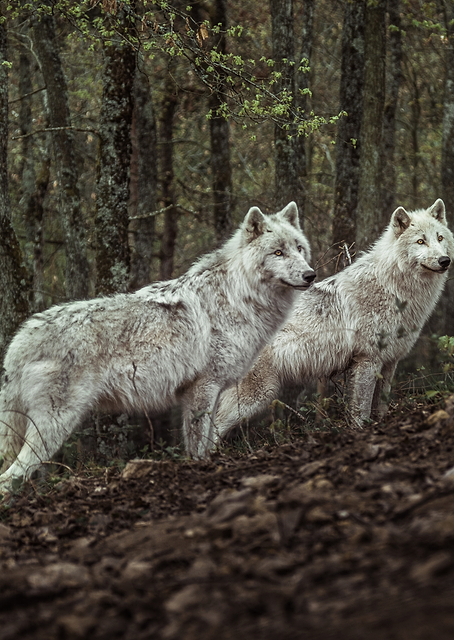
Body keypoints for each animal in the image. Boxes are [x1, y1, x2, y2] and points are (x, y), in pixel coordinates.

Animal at [0, 202, 315, 489]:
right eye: (278, 252)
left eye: (299, 248)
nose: (310, 275)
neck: (239, 296)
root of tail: (19, 340)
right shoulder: (203, 388)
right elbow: (198, 443)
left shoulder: (210, 391)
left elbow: (207, 439)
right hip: (54, 425)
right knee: (12, 475)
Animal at [214, 199, 454, 444]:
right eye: (421, 241)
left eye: (440, 238)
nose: (445, 260)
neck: (393, 289)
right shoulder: (368, 360)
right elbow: (361, 410)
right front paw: (360, 431)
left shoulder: (389, 362)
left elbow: (382, 405)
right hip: (258, 395)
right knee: (214, 426)